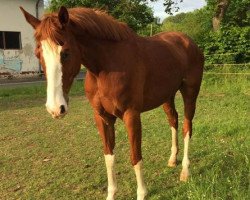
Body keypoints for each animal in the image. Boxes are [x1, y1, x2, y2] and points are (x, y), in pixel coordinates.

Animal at [19, 6, 203, 200]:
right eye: (38, 54)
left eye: (66, 53)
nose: (55, 108)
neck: (105, 68)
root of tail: (188, 41)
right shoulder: (103, 117)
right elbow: (109, 156)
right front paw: (111, 193)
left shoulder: (131, 115)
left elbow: (135, 157)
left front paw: (142, 193)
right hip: (167, 97)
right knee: (173, 120)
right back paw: (173, 159)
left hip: (190, 93)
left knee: (187, 127)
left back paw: (185, 171)